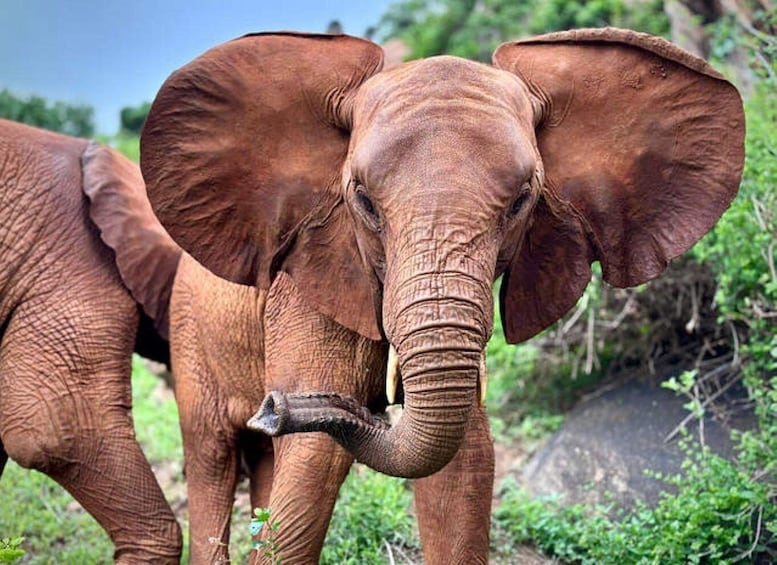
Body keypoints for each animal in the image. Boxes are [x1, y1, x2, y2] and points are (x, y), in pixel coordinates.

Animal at [140, 28, 744, 563]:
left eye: (522, 199)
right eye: (363, 200)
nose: (276, 407)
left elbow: (463, 461)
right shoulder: (307, 286)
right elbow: (312, 467)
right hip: (189, 333)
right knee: (211, 456)